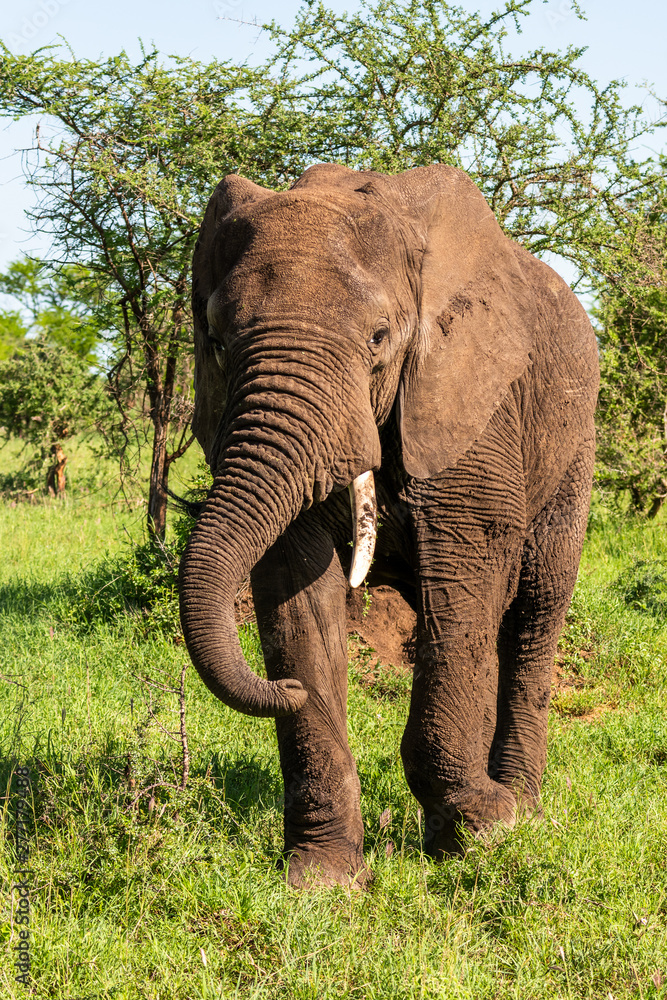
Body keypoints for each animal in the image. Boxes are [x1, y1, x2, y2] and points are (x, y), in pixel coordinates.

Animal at [179, 162, 599, 887]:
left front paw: (484, 832)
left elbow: (464, 579)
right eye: (217, 342)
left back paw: (521, 805)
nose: (280, 690)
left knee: (534, 611)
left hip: (573, 444)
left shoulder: (470, 405)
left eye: (379, 339)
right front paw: (323, 879)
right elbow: (296, 593)